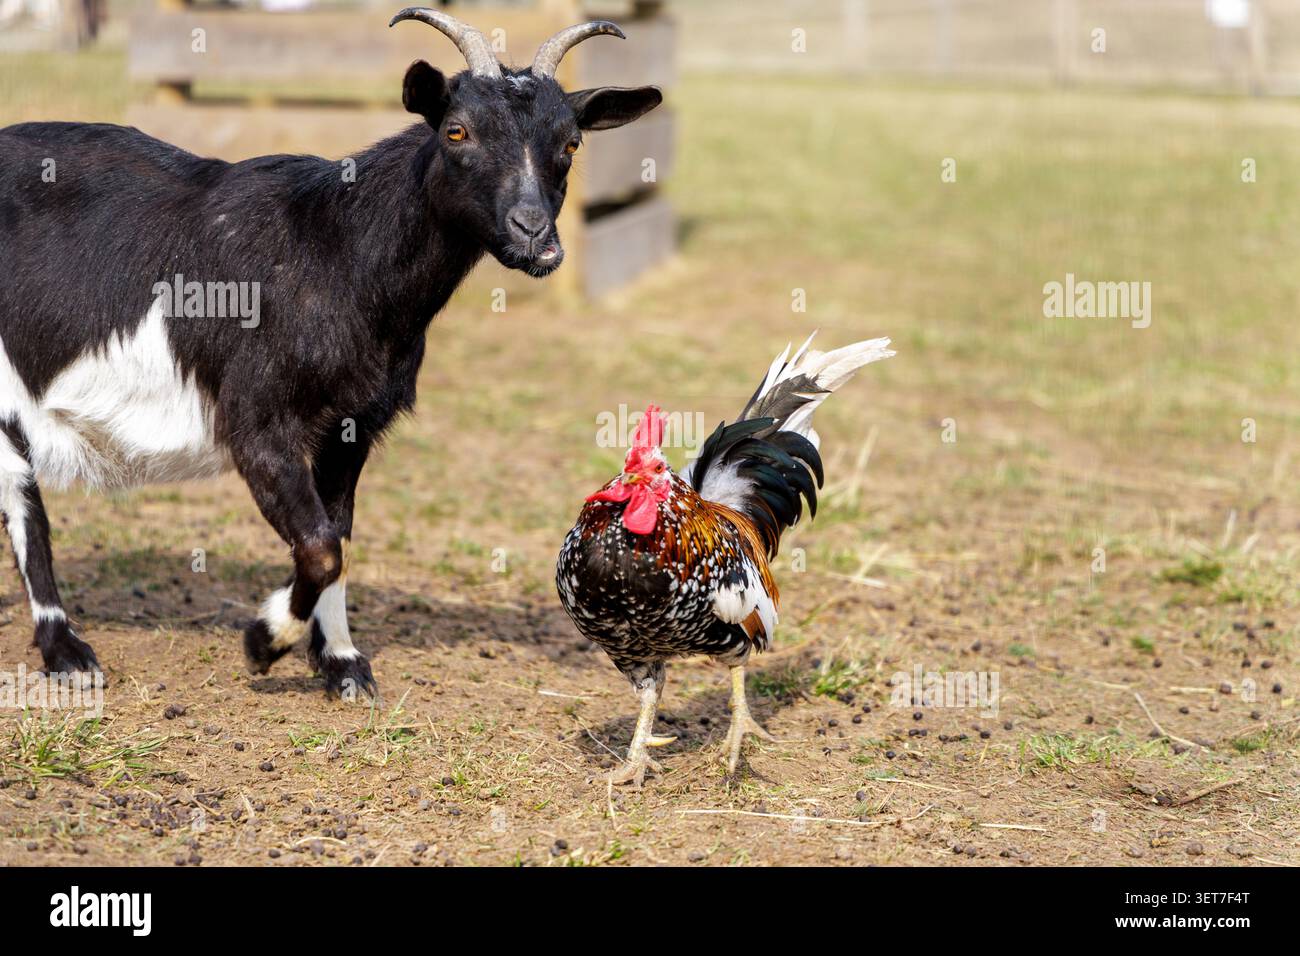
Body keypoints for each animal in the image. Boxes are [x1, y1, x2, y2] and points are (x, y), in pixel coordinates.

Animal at [0, 8, 662, 698]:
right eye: (457, 130)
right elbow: (319, 545)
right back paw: (66, 651)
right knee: (25, 501)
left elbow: (338, 537)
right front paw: (265, 641)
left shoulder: (352, 428)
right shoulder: (257, 423)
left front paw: (340, 661)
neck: (334, 247)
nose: (536, 236)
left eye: (571, 143)